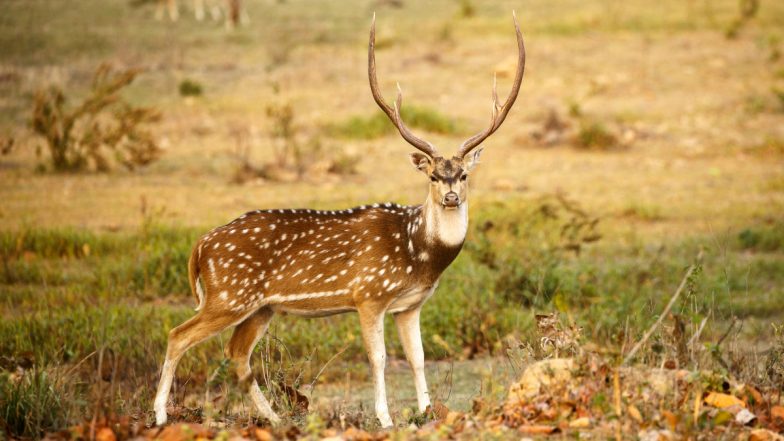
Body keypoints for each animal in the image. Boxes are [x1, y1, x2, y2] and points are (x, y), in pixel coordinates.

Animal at [154, 12, 528, 426]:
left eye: (463, 175)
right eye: (433, 176)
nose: (450, 196)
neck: (418, 252)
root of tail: (200, 247)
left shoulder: (410, 305)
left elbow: (417, 358)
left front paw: (428, 412)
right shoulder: (369, 294)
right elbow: (379, 358)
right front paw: (385, 419)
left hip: (259, 306)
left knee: (237, 353)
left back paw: (275, 418)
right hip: (229, 295)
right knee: (177, 334)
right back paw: (160, 415)